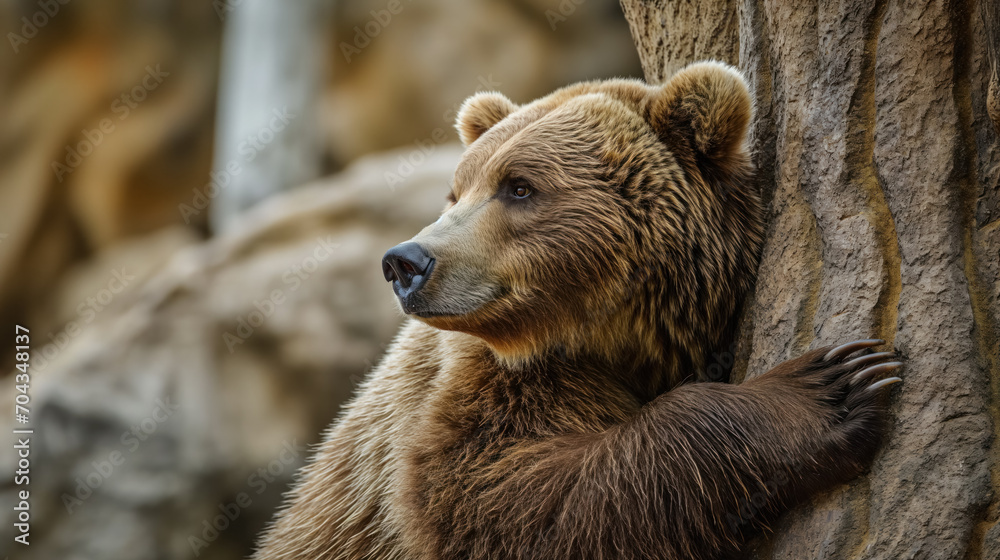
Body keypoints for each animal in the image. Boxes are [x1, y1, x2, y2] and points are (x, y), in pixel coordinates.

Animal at [250, 61, 902, 560]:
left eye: (518, 186)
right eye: (456, 192)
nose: (406, 262)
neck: (619, 333)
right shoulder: (496, 385)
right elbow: (501, 501)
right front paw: (834, 387)